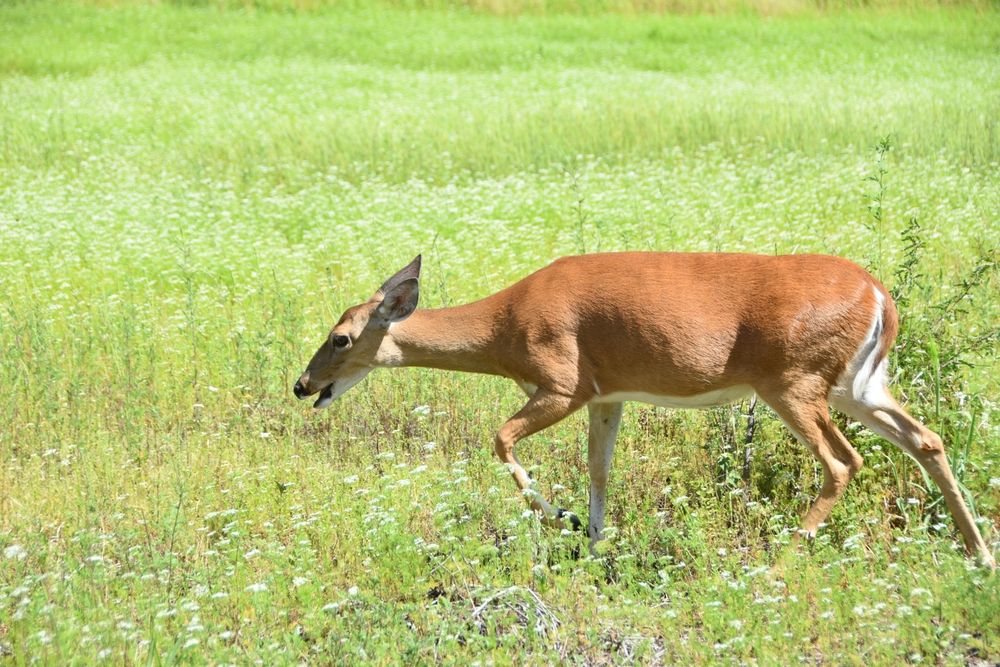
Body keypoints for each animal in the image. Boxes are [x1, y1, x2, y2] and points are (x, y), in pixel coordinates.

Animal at [293, 253, 994, 567]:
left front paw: (560, 517)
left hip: (794, 382)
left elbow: (500, 440)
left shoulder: (563, 382)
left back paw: (782, 554)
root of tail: (880, 295)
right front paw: (596, 540)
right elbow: (600, 469)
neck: (507, 325)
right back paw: (979, 553)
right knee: (927, 439)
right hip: (858, 385)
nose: (302, 385)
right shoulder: (608, 395)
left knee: (843, 461)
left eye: (340, 337)